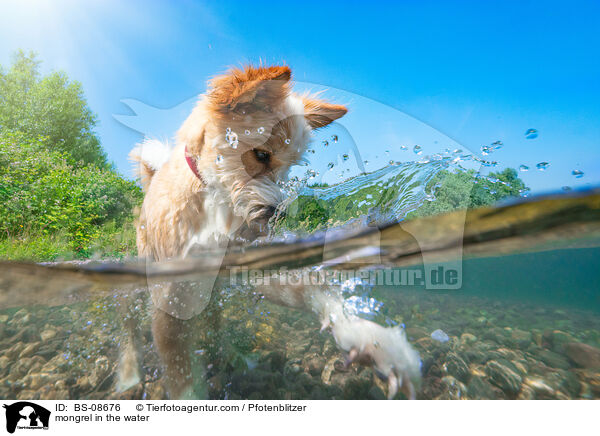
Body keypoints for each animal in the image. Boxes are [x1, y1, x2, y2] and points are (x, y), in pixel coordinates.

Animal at [121, 63, 420, 398]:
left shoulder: (253, 263)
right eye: (261, 155)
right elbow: (179, 370)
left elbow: (315, 291)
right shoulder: (170, 300)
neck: (215, 207)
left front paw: (370, 339)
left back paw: (232, 356)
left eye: (290, 168)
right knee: (131, 321)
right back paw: (130, 371)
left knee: (213, 323)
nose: (279, 213)